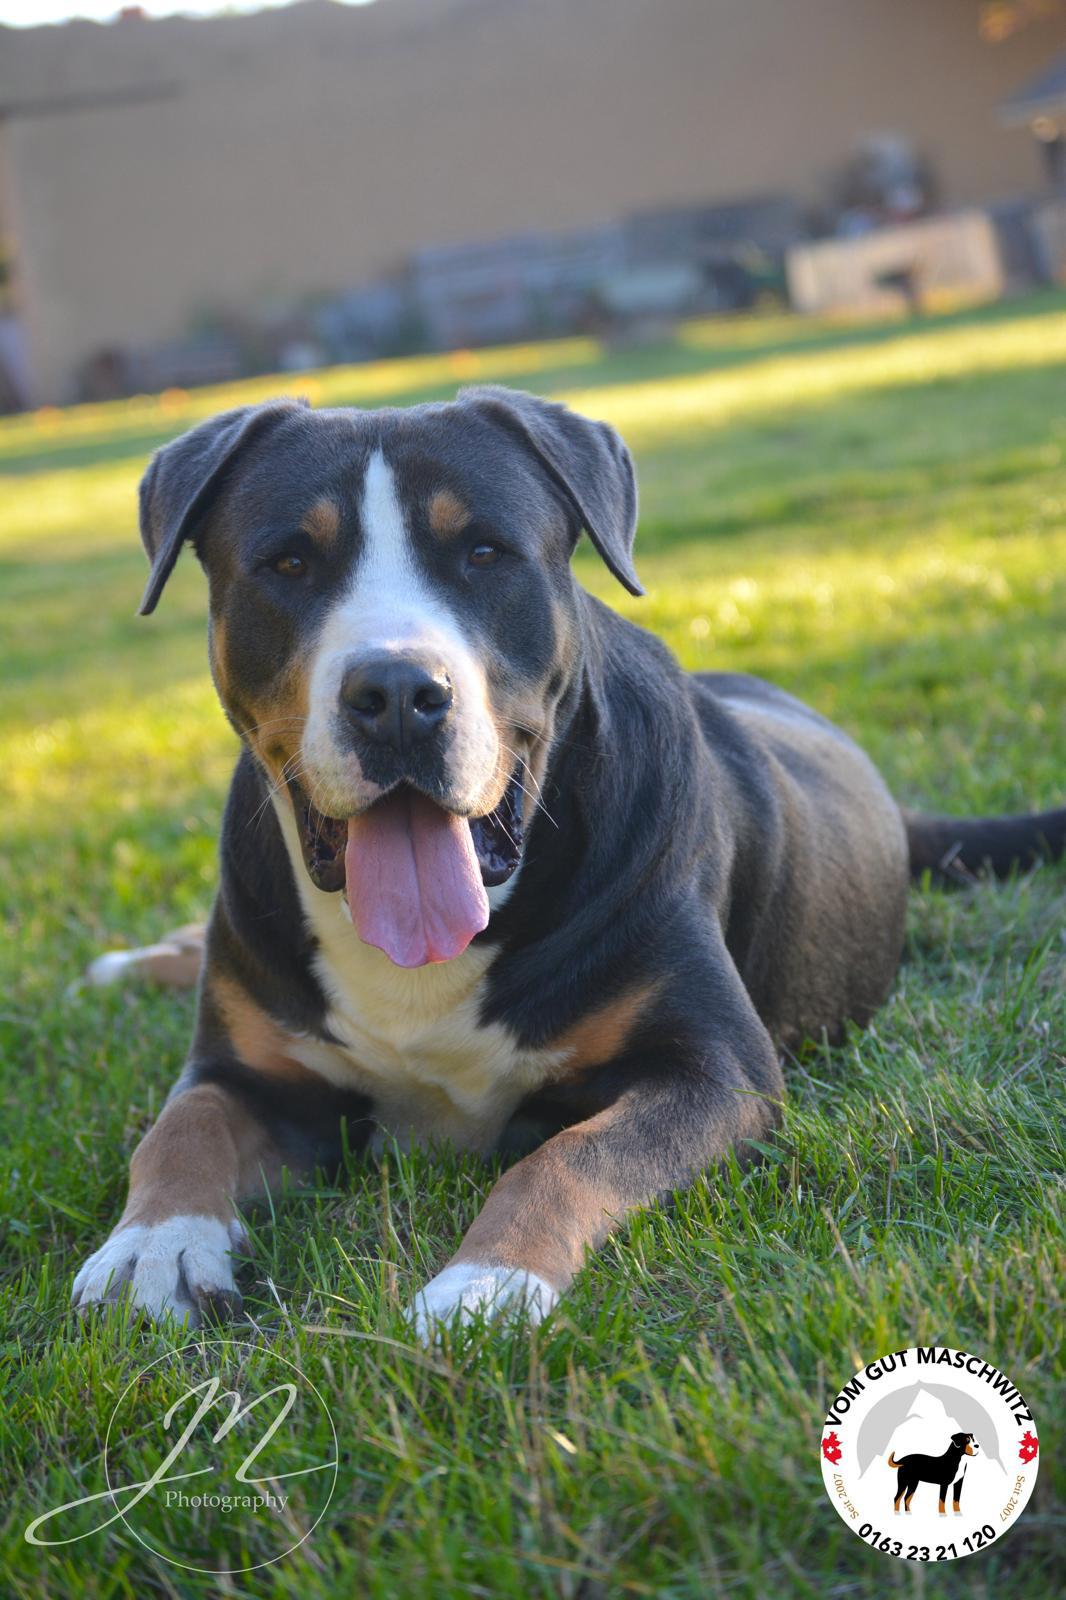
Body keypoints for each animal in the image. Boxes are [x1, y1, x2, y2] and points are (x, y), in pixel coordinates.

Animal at [72, 387, 1066, 1333]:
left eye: (483, 553)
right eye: (288, 562)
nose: (396, 692)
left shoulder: (715, 1074)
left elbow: (567, 1157)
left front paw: (484, 1284)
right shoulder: (242, 1070)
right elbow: (180, 1128)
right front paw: (150, 1249)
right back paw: (138, 960)